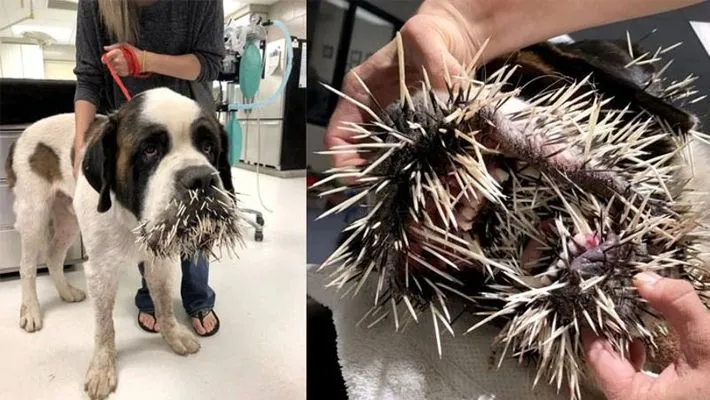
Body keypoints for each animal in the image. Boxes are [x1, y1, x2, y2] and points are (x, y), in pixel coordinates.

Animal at [4, 86, 236, 398]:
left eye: (209, 147)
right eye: (150, 150)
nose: (200, 178)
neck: (131, 216)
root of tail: (22, 134)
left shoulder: (159, 262)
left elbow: (164, 303)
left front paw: (173, 334)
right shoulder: (100, 270)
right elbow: (105, 327)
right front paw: (103, 368)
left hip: (68, 221)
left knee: (53, 255)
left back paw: (66, 292)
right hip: (34, 216)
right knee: (27, 266)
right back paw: (30, 310)